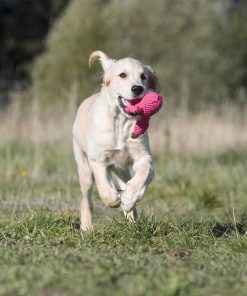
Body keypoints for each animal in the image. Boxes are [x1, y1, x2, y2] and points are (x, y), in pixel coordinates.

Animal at [72, 50, 160, 231]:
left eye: (143, 76)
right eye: (122, 75)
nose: (138, 89)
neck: (121, 121)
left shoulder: (143, 156)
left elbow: (144, 174)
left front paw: (129, 198)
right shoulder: (98, 159)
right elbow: (105, 191)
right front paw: (116, 199)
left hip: (122, 169)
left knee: (127, 182)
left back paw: (132, 219)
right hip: (84, 168)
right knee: (86, 198)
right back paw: (86, 227)